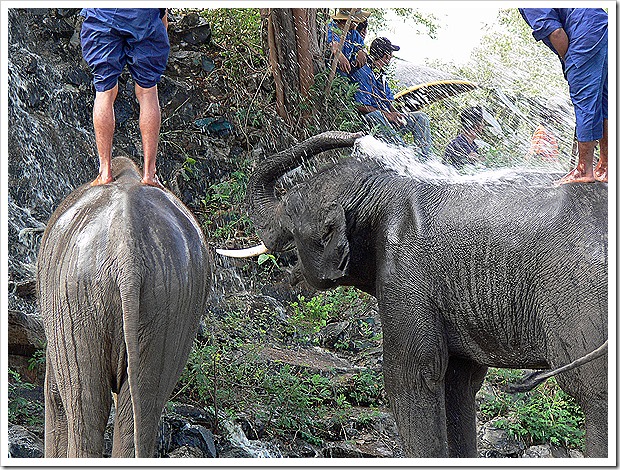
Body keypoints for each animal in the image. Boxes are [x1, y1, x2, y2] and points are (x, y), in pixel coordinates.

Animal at [37, 157, 211, 456]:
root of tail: (127, 252)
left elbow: (55, 395)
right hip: (169, 300)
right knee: (143, 406)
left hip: (74, 297)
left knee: (84, 404)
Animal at [225, 132, 608, 458]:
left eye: (289, 213)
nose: (359, 135)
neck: (383, 188)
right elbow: (457, 381)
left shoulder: (405, 274)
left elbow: (410, 376)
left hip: (580, 296)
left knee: (592, 393)